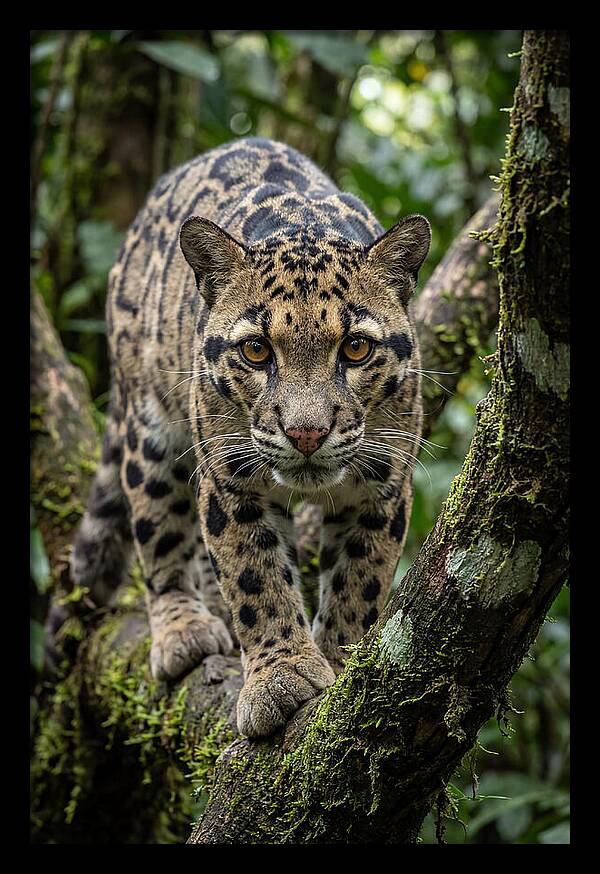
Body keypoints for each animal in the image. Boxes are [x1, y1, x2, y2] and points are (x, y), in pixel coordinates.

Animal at [71, 136, 430, 738]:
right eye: (257, 350)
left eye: (356, 348)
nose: (306, 433)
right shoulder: (230, 478)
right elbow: (254, 576)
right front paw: (280, 679)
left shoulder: (383, 483)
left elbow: (360, 580)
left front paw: (340, 661)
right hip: (149, 429)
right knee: (158, 531)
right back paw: (184, 629)